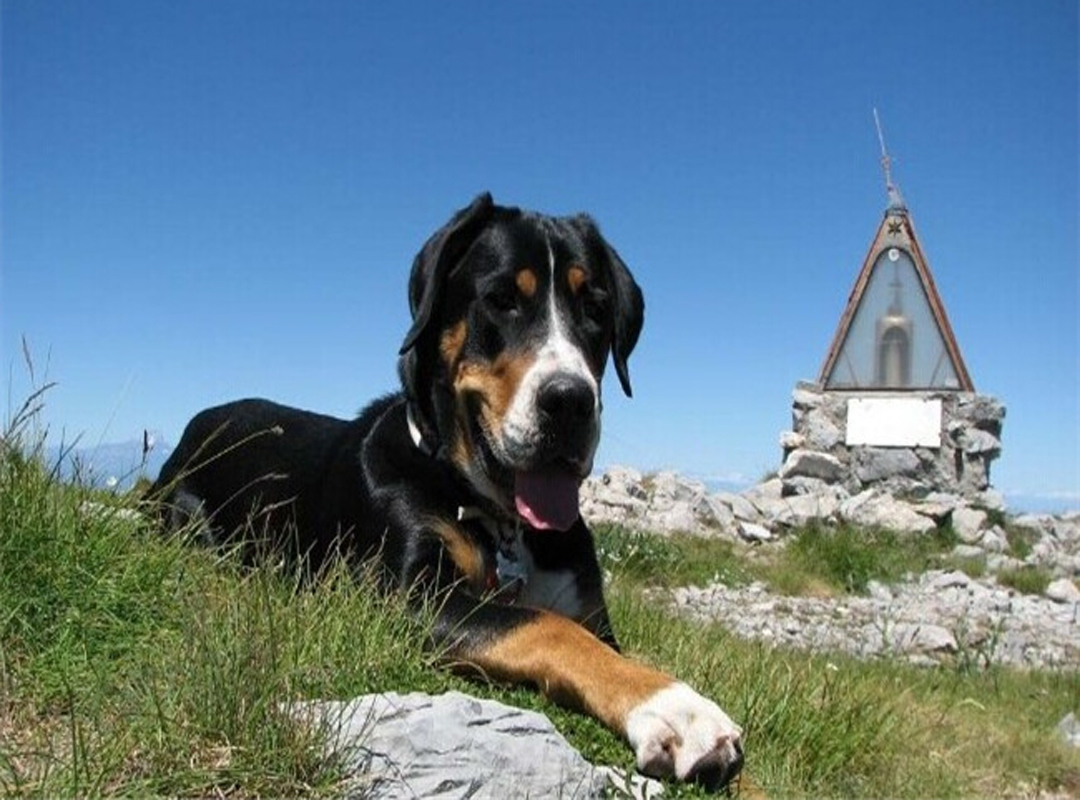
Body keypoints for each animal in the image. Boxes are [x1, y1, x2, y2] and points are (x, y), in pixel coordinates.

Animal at [152, 193, 743, 785]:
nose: (571, 400)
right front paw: (678, 709)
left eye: (596, 309)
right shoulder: (407, 596)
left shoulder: (592, 615)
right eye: (502, 300)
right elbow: (545, 627)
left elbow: (606, 648)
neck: (503, 523)